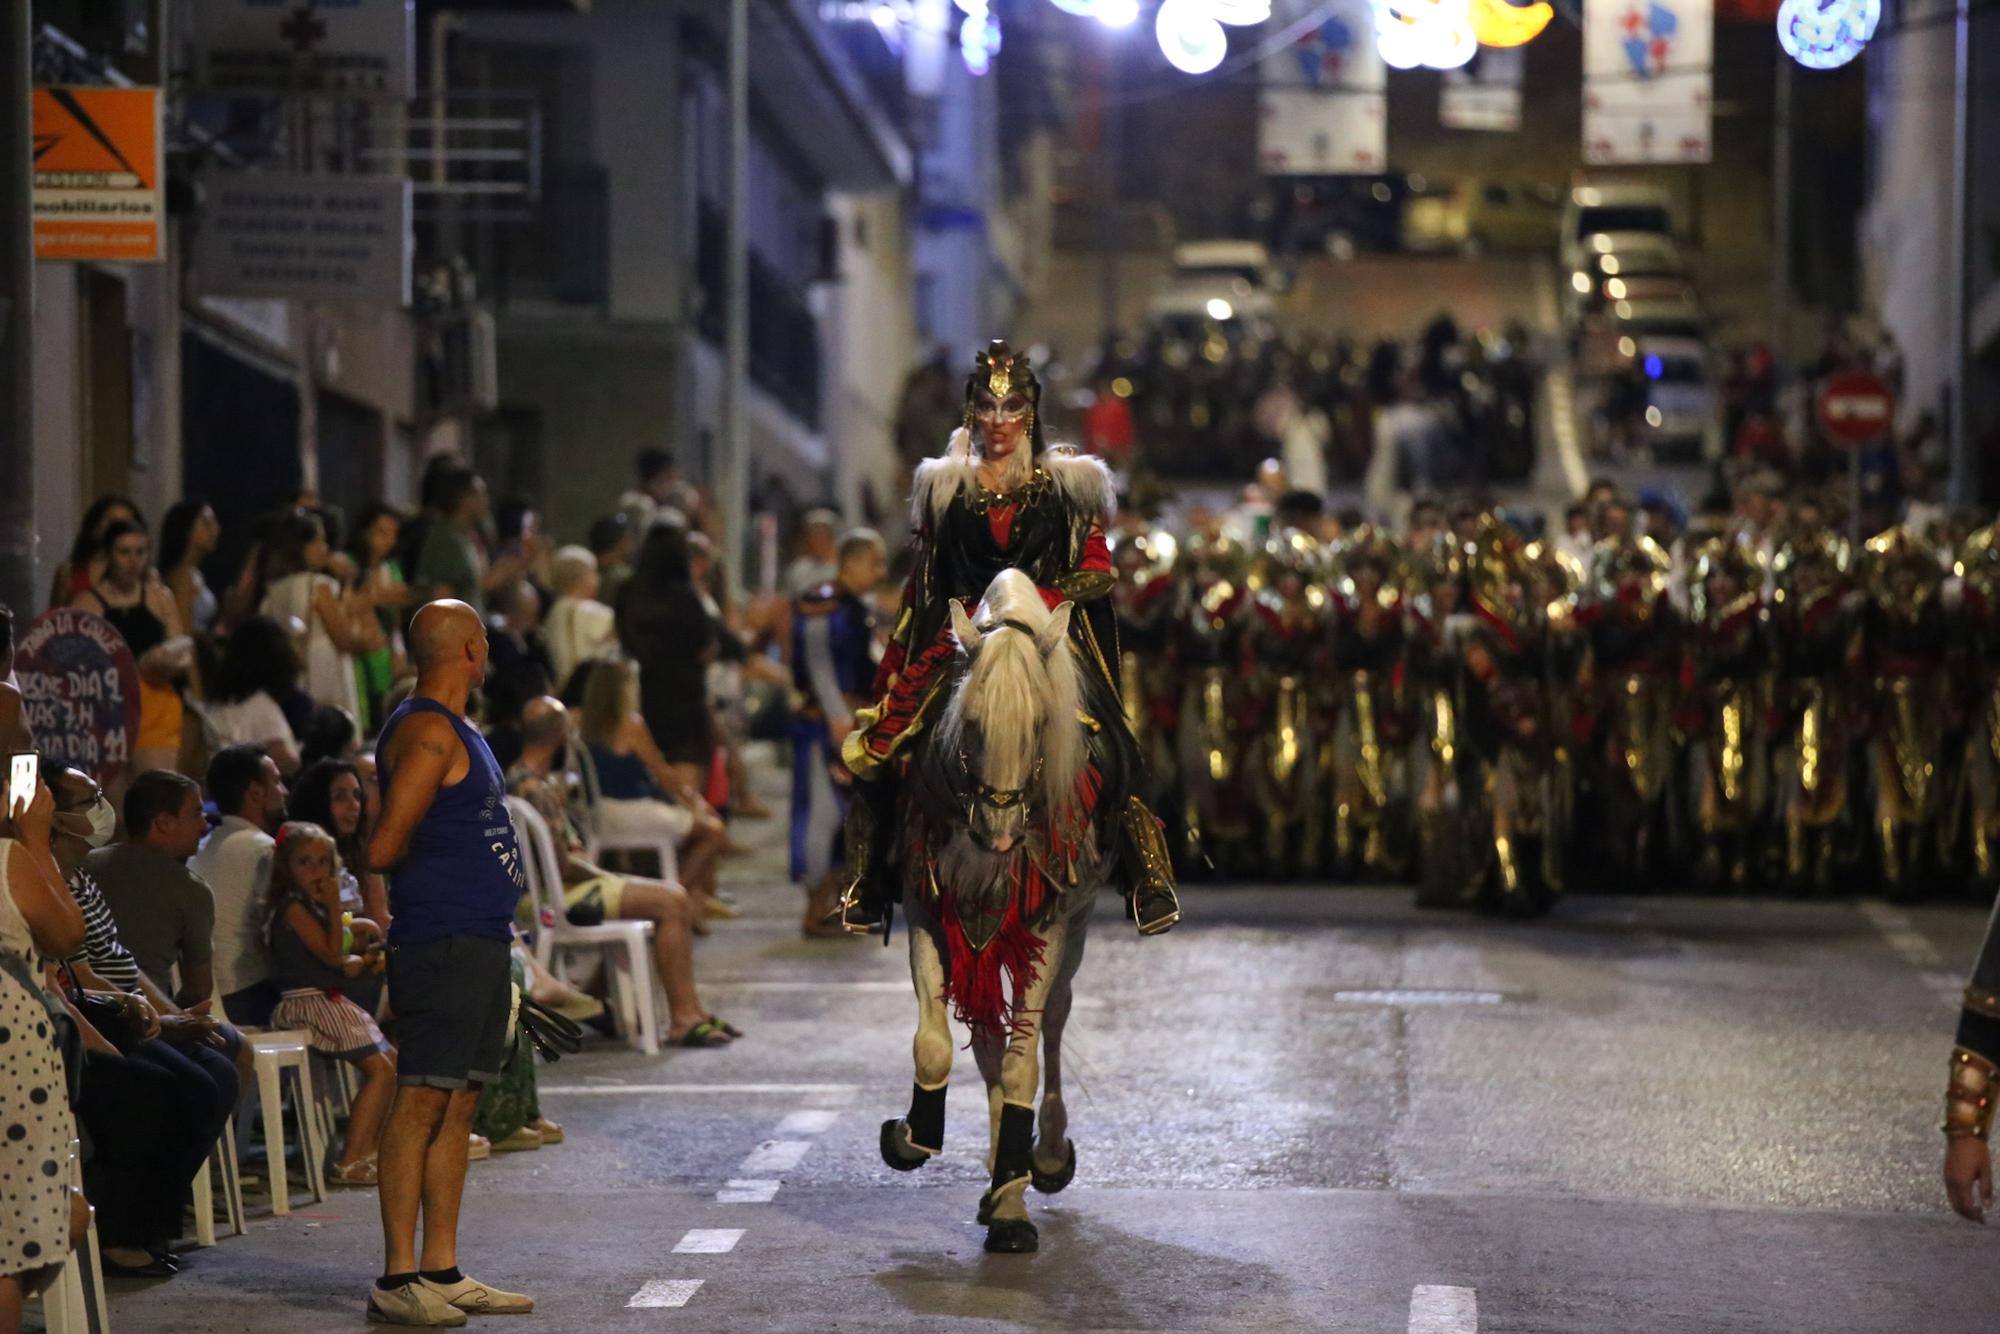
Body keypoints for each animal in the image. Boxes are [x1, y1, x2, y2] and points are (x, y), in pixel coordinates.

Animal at [884, 568, 1120, 1256]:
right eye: (970, 722)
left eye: (1041, 723)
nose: (1001, 831)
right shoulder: (928, 910)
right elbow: (937, 1047)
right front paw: (911, 1139)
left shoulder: (1051, 923)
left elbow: (1023, 1063)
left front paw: (1016, 1204)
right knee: (988, 1036)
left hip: (1073, 931)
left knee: (1052, 1021)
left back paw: (1037, 1161)